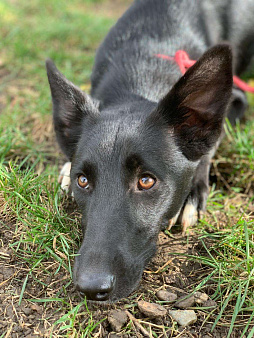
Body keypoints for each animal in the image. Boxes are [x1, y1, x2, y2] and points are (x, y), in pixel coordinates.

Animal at [46, 0, 253, 302]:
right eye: (82, 181)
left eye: (146, 181)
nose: (91, 288)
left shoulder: (236, 102)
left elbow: (208, 147)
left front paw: (192, 194)